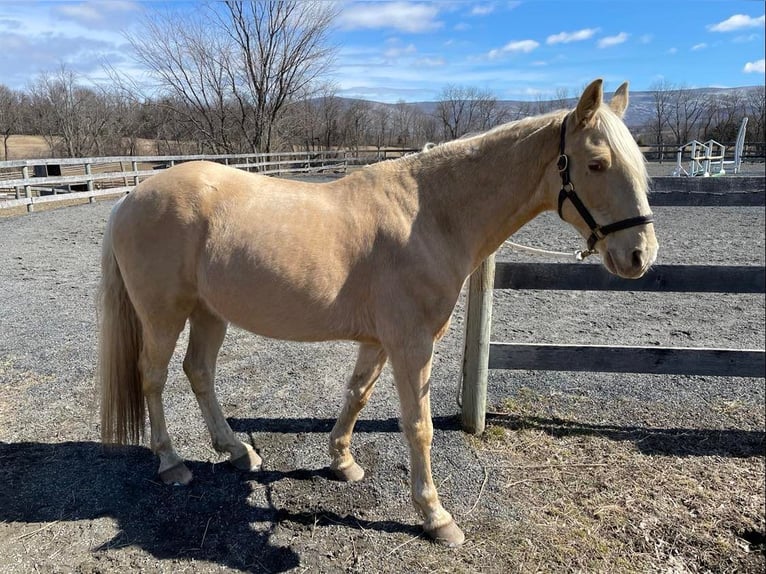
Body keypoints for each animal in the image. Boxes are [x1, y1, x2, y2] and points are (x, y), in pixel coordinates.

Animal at [97, 79, 660, 548]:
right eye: (596, 163)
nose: (640, 255)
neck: (430, 215)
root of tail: (130, 198)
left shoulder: (378, 341)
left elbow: (357, 395)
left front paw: (343, 461)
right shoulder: (412, 344)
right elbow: (419, 426)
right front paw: (435, 517)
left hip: (210, 313)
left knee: (199, 373)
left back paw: (237, 450)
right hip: (164, 316)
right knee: (153, 378)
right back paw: (171, 462)